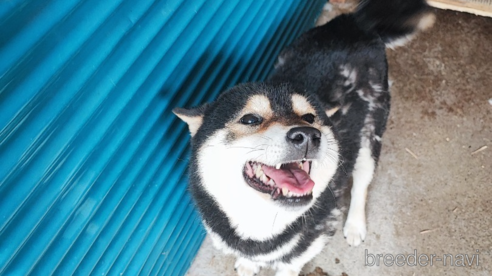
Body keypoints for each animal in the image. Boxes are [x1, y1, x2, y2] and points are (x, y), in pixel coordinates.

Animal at [175, 1, 432, 274]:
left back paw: (355, 224)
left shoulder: (314, 238)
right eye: (251, 119)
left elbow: (291, 262)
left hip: (370, 133)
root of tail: (354, 23)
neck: (259, 222)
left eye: (309, 117)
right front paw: (248, 263)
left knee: (362, 181)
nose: (308, 134)